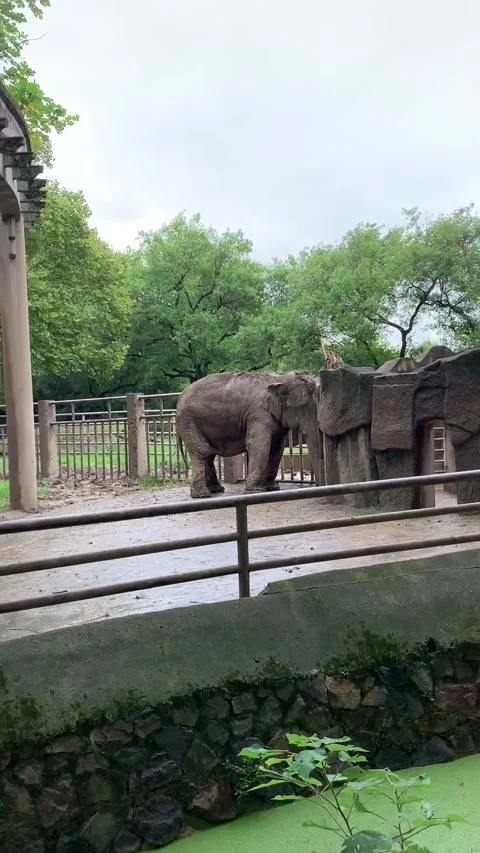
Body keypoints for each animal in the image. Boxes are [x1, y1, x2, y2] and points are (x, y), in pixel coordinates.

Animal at [176, 370, 322, 498]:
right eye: (303, 406)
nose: (318, 486)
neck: (279, 378)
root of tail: (180, 398)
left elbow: (277, 449)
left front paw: (272, 488)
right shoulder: (258, 414)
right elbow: (260, 446)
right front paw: (255, 491)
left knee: (208, 454)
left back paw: (216, 490)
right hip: (189, 422)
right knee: (201, 451)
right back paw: (202, 495)